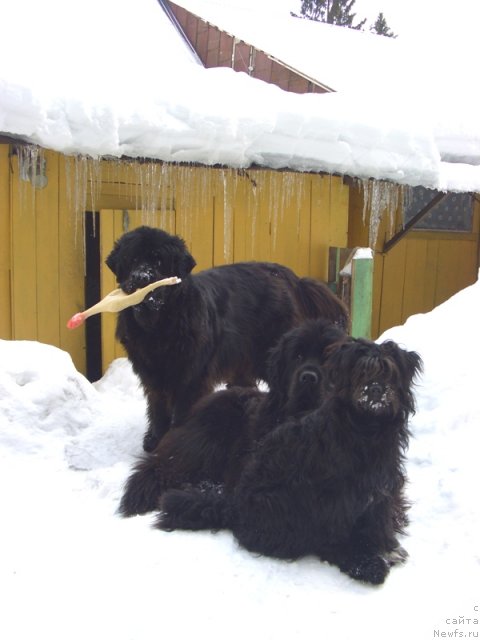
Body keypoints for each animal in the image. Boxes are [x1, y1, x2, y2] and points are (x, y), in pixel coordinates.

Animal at [106, 225, 344, 450]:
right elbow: (157, 409)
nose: (141, 278)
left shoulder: (192, 377)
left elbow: (182, 410)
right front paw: (154, 440)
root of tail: (291, 277)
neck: (158, 327)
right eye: (132, 259)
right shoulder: (152, 375)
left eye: (159, 260)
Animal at [157, 340, 420, 584]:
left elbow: (378, 521)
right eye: (361, 372)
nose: (375, 390)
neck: (366, 428)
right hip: (281, 501)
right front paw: (361, 561)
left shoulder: (381, 488)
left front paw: (387, 548)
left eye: (388, 371)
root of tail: (234, 506)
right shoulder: (336, 497)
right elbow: (340, 535)